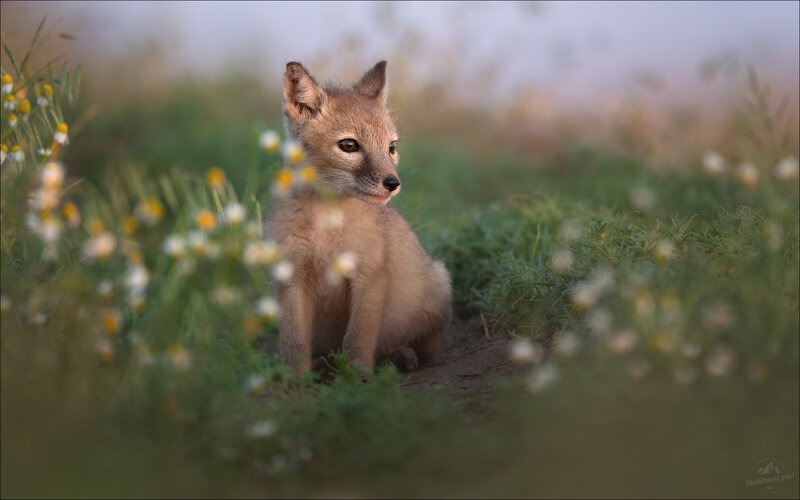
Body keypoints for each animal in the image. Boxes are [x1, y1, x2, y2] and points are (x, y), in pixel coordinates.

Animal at [264, 60, 452, 373]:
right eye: (349, 145)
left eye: (391, 147)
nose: (393, 183)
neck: (326, 226)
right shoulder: (292, 278)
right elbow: (293, 343)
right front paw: (295, 379)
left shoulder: (370, 276)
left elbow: (358, 336)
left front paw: (356, 375)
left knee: (413, 348)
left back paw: (399, 356)